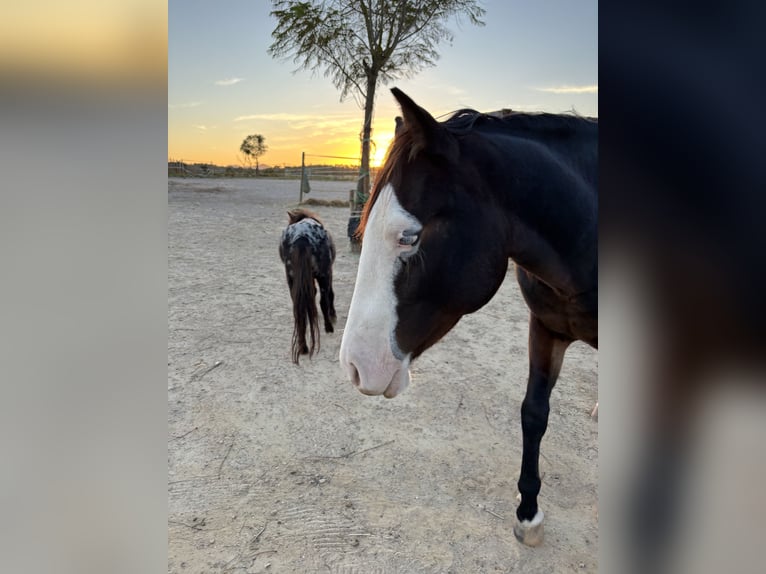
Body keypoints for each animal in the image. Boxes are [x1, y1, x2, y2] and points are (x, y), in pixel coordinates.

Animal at [279, 208, 337, 364]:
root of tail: (302, 236)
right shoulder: (328, 272)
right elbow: (330, 295)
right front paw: (333, 314)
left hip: (292, 279)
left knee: (299, 310)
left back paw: (303, 346)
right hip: (324, 274)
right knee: (323, 301)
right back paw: (329, 327)